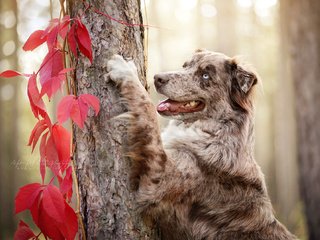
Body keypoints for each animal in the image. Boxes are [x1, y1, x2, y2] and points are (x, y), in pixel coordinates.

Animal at [106, 49, 296, 239]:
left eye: (205, 75)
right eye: (185, 66)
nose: (158, 78)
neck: (214, 133)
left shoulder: (157, 178)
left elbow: (148, 110)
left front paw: (125, 71)